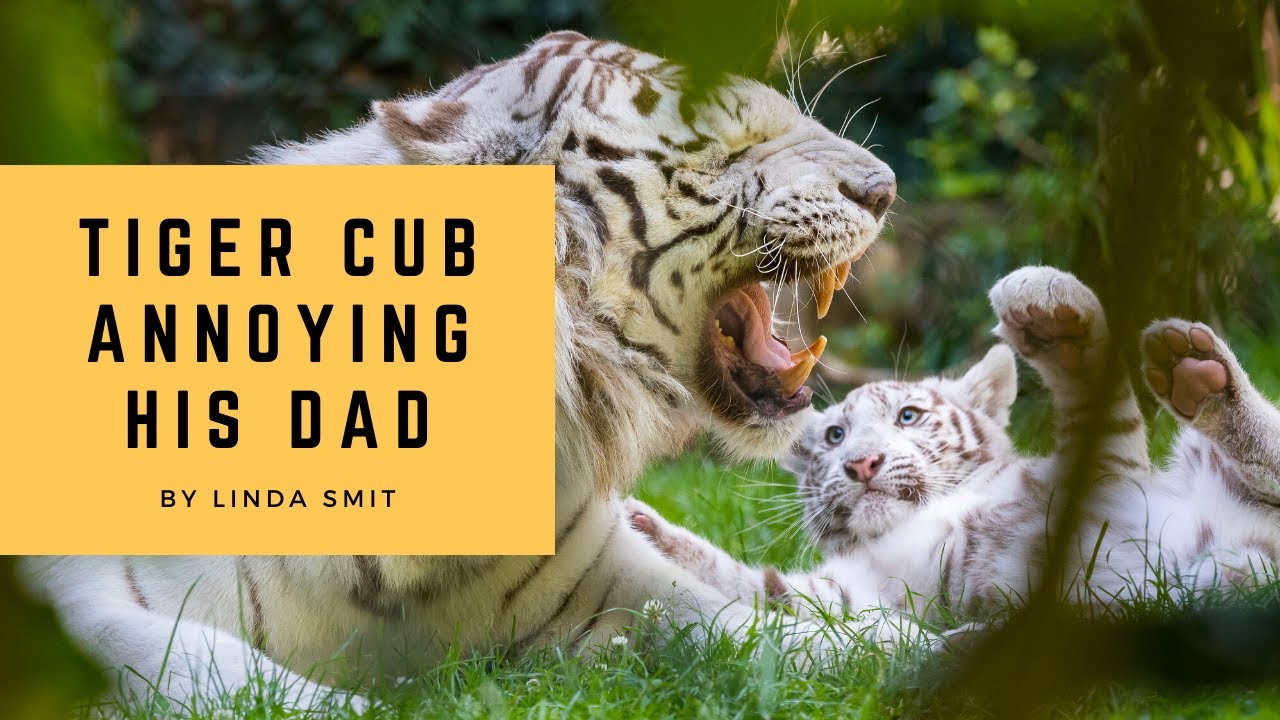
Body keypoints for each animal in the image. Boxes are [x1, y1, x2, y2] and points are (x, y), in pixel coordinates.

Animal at [19, 31, 896, 709]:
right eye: (731, 147)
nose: (885, 187)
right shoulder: (84, 602)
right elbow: (225, 676)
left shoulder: (603, 576)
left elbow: (761, 630)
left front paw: (904, 655)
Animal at [628, 266, 1280, 639]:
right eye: (836, 436)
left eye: (908, 416)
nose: (861, 465)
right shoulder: (865, 593)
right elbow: (756, 585)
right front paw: (642, 530)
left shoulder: (1102, 486)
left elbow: (1100, 413)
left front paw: (1052, 316)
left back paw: (1197, 373)